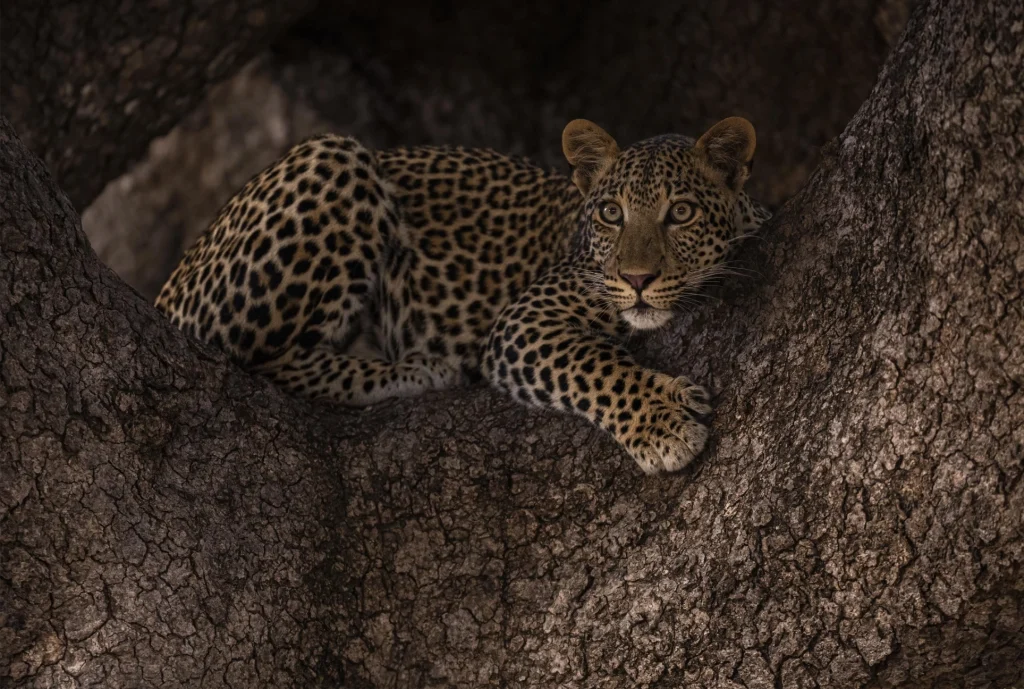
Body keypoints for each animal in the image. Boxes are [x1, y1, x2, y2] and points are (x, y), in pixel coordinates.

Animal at [155, 116, 771, 473]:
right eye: (611, 214)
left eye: (681, 213)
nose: (637, 279)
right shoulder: (524, 322)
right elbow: (595, 367)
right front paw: (663, 424)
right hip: (334, 158)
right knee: (265, 359)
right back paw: (417, 371)